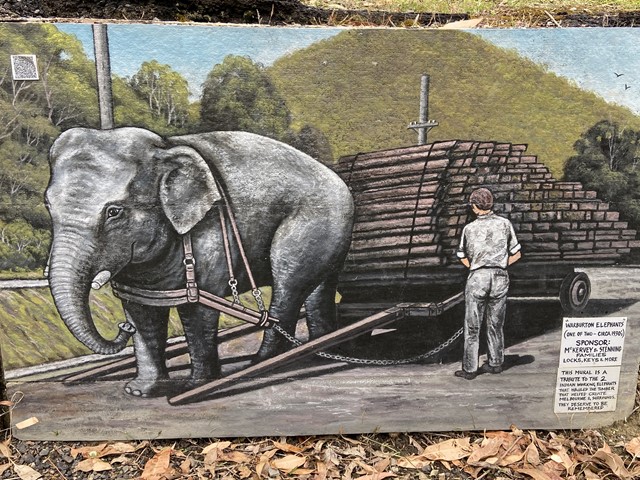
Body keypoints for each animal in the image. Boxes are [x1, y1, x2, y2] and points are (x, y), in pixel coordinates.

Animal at [45, 125, 356, 396]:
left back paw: (262, 363)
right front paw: (140, 391)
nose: (122, 328)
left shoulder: (211, 234)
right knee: (317, 289)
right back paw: (320, 353)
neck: (165, 146)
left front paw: (192, 386)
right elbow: (141, 311)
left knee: (288, 290)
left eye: (114, 212)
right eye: (48, 204)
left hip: (311, 225)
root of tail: (339, 180)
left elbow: (197, 310)